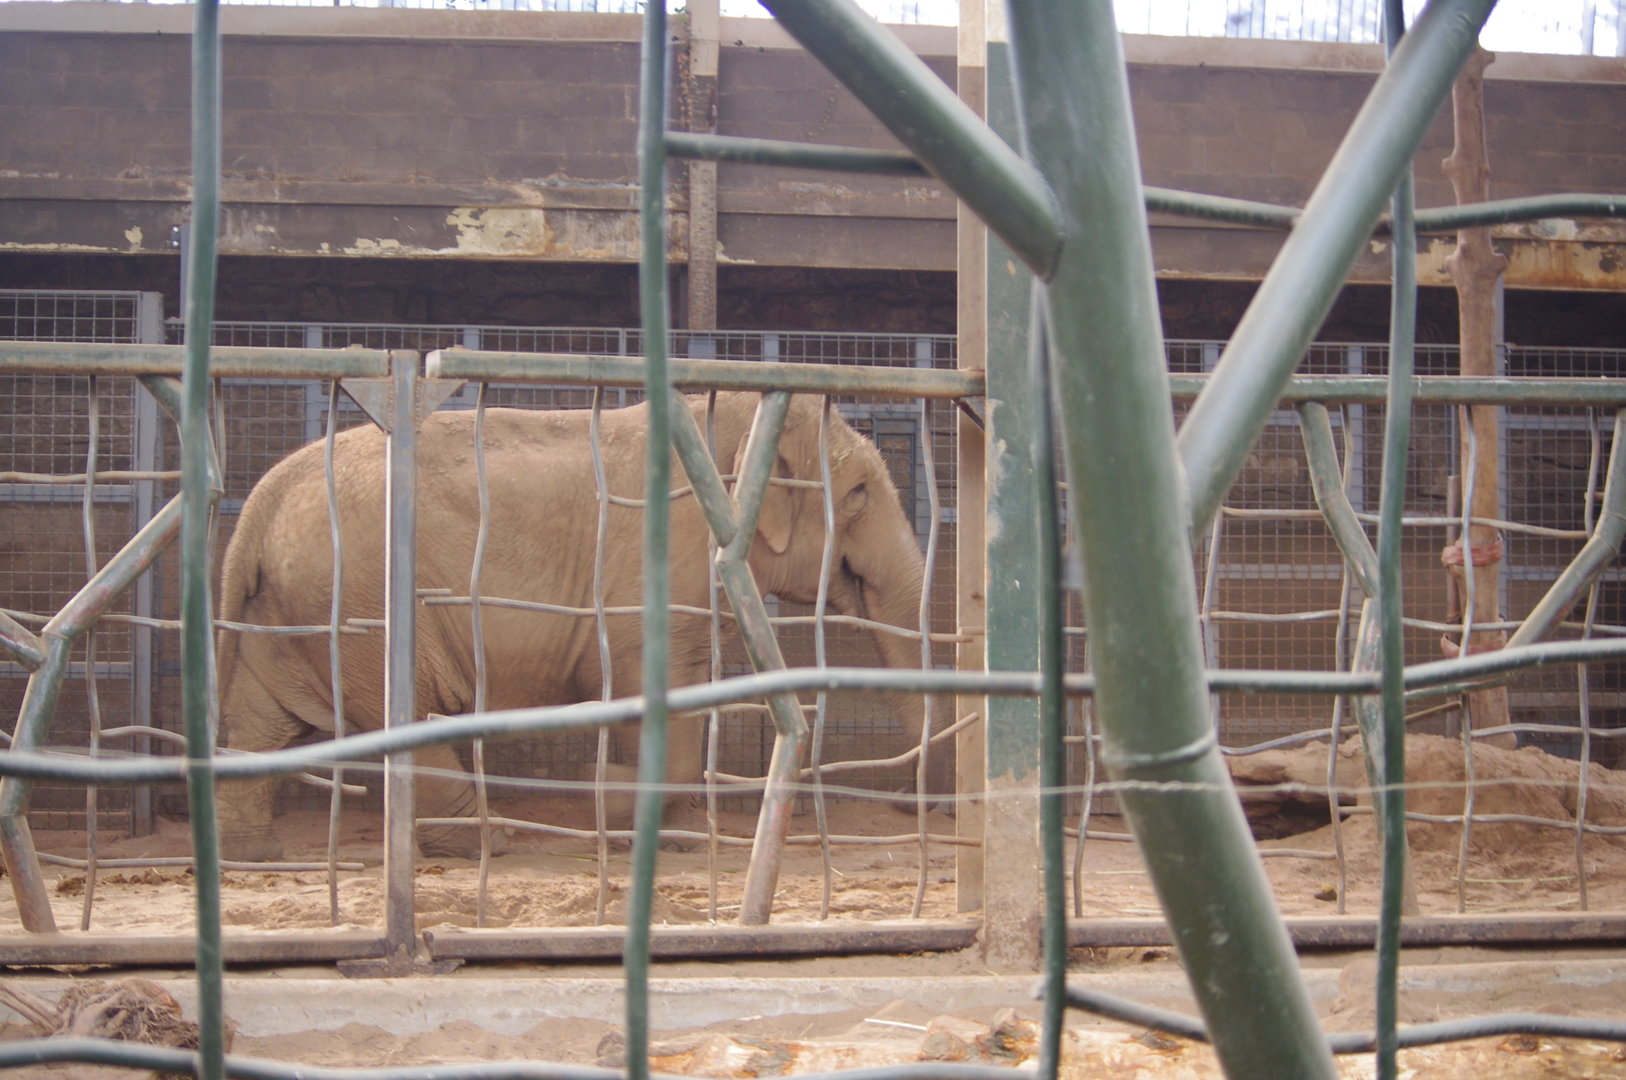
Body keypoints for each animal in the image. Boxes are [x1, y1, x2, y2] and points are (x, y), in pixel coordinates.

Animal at [213, 391, 933, 861]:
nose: (905, 799)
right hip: (363, 605)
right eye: (861, 492)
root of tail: (262, 498)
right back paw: (488, 843)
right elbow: (651, 687)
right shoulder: (657, 560)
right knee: (406, 720)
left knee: (260, 720)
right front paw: (609, 798)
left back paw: (254, 853)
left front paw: (661, 831)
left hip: (291, 613)